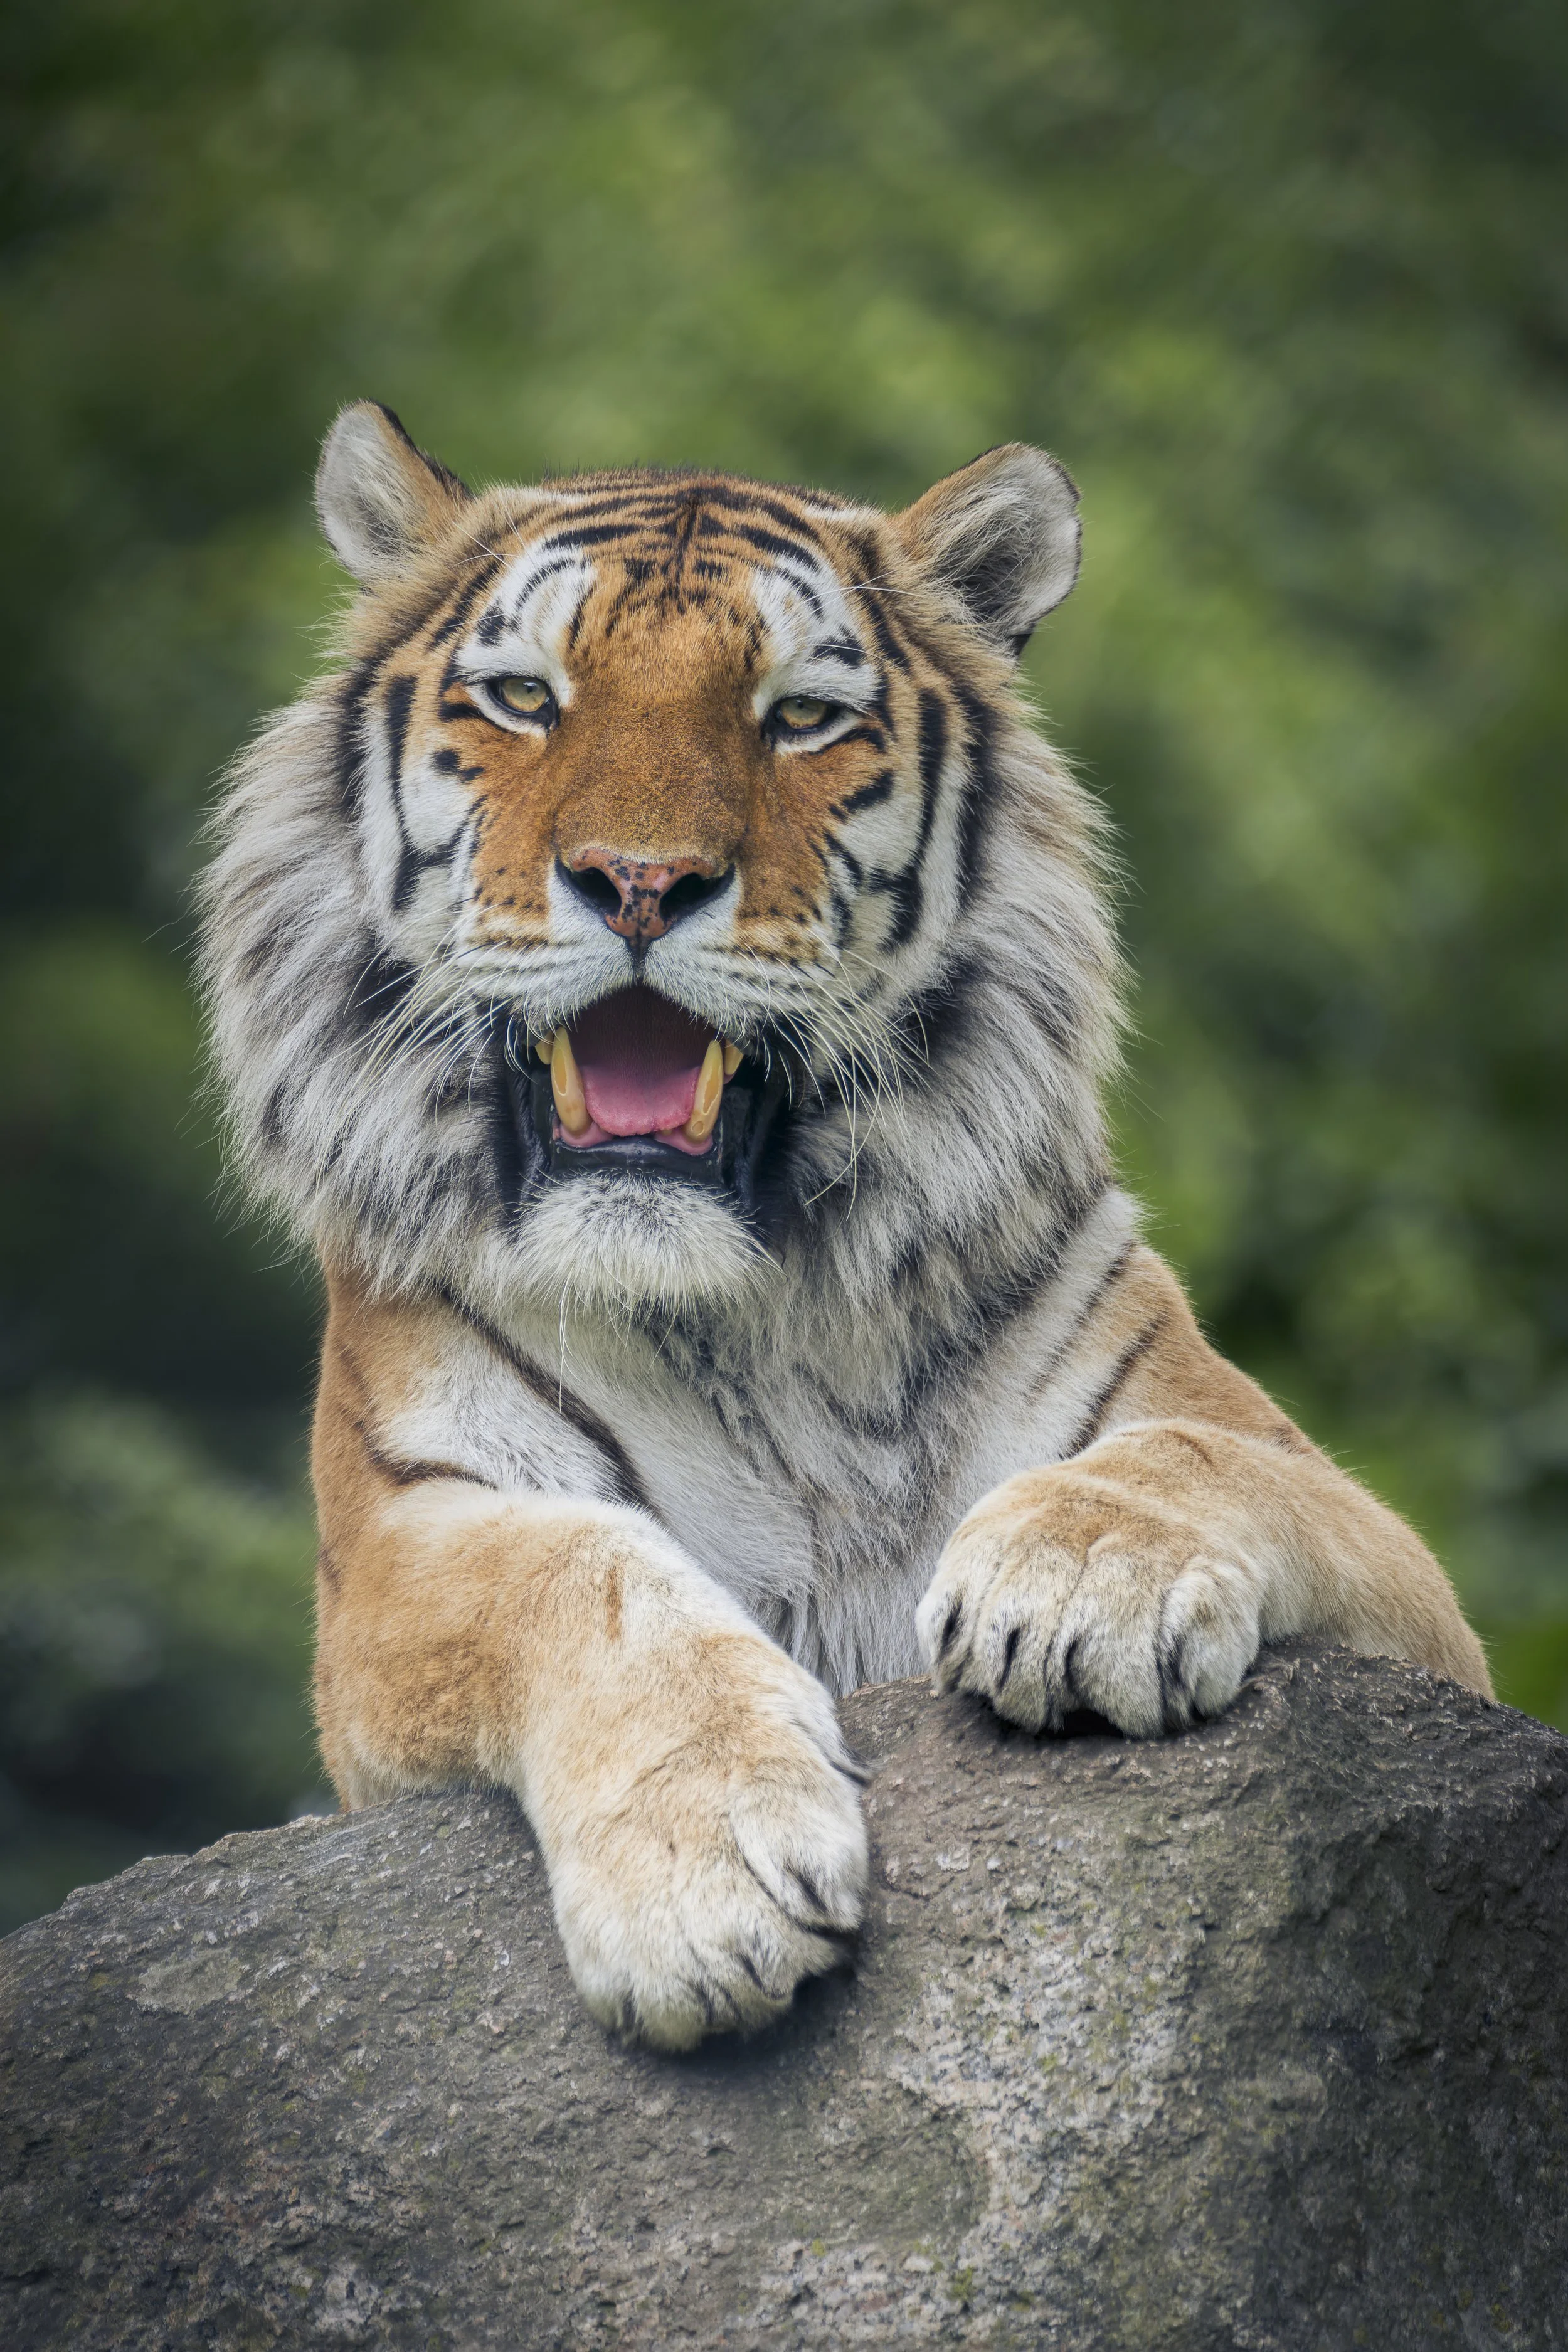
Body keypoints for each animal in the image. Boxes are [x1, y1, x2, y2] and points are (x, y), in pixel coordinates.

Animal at [200, 400, 1491, 2050]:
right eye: (524, 697)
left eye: (800, 716)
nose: (638, 882)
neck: (764, 1304)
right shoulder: (401, 1538)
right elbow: (579, 1576)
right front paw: (707, 1883)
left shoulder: (1388, 1571)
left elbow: (1189, 1457)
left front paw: (1074, 1577)